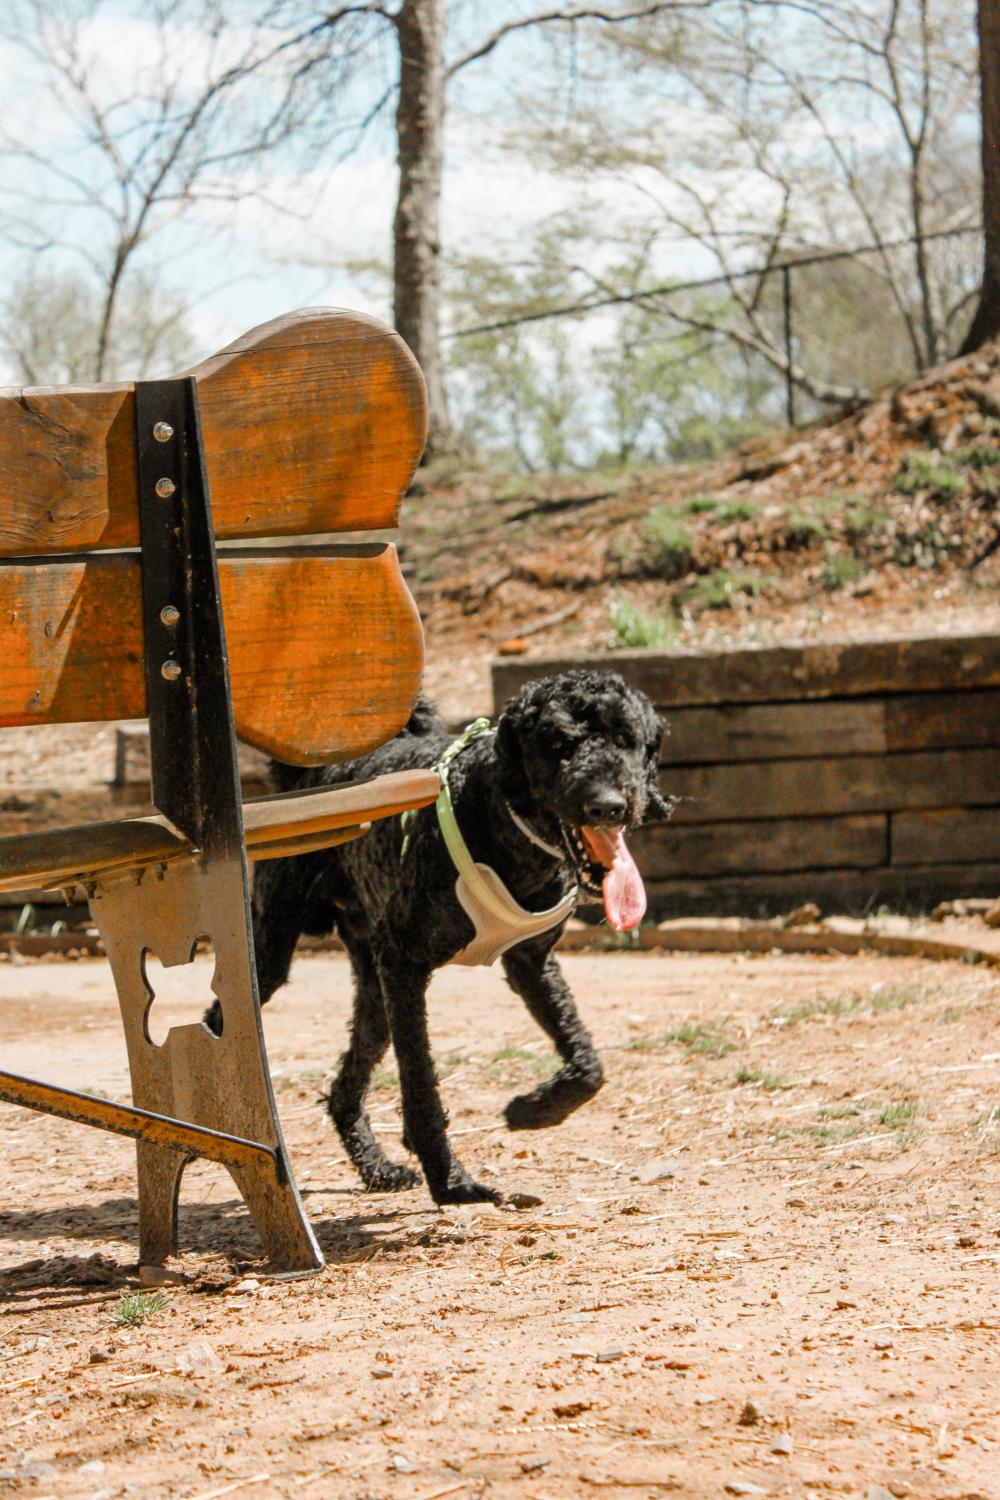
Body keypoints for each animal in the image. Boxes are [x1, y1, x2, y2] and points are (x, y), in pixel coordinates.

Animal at [212, 675, 671, 1200]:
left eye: (628, 740)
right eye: (557, 744)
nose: (609, 805)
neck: (496, 813)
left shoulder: (530, 961)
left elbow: (588, 1066)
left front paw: (535, 1109)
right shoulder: (405, 964)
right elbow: (420, 1081)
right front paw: (450, 1178)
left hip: (374, 988)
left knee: (345, 1086)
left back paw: (377, 1167)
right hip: (273, 951)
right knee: (217, 1020)